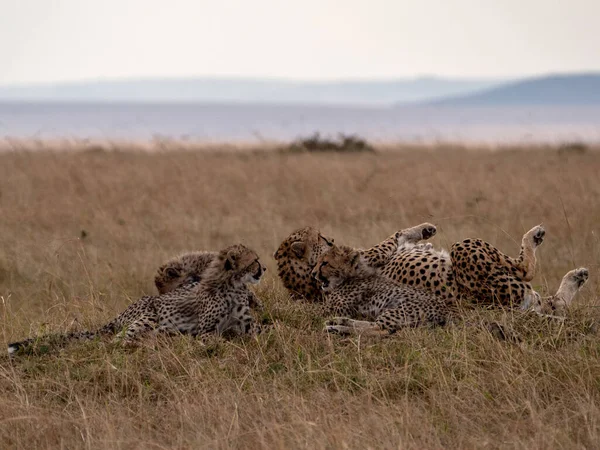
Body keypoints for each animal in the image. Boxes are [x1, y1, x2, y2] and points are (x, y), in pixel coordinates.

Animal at [8, 243, 266, 356]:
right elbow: (215, 337)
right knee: (115, 342)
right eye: (254, 260)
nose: (263, 268)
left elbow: (262, 329)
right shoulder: (205, 329)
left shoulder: (247, 323)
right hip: (149, 316)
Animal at [274, 222, 438, 302]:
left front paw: (424, 239)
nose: (332, 240)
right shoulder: (369, 257)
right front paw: (425, 228)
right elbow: (393, 237)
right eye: (321, 237)